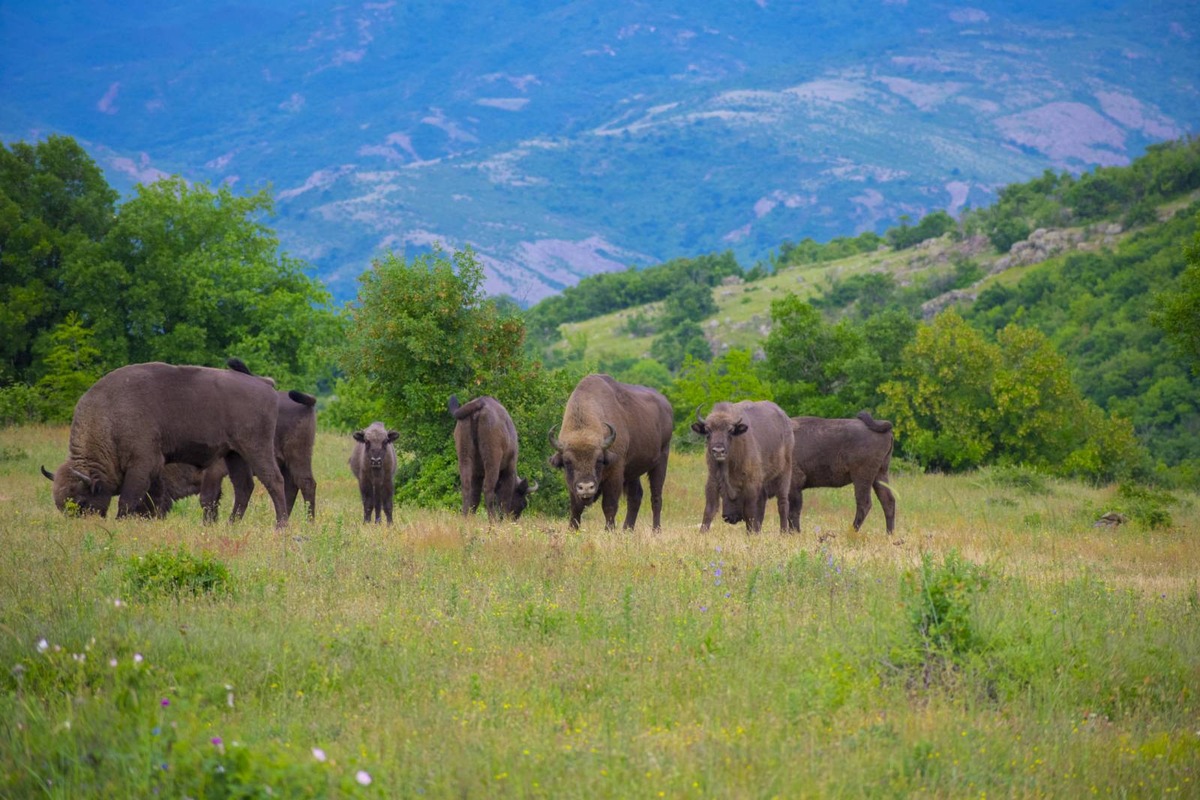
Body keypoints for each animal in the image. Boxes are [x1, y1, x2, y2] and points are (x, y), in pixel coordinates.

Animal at [42, 362, 290, 525]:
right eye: (61, 505)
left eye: (81, 501)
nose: (81, 527)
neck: (109, 420)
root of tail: (264, 383)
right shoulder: (155, 469)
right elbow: (151, 498)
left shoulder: (142, 464)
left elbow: (128, 500)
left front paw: (121, 522)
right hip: (234, 454)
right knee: (244, 487)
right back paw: (232, 524)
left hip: (256, 449)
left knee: (274, 481)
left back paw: (281, 525)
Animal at [549, 376, 676, 532]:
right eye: (567, 462)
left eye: (599, 460)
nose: (586, 487)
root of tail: (666, 404)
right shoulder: (572, 484)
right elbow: (576, 507)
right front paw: (572, 530)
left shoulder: (615, 474)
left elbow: (609, 505)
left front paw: (609, 531)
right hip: (633, 472)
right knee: (635, 497)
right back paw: (627, 530)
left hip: (661, 461)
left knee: (656, 497)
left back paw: (656, 531)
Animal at [696, 398, 796, 532]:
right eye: (708, 431)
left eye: (730, 430)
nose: (718, 450)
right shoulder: (712, 482)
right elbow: (709, 510)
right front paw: (702, 533)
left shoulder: (750, 485)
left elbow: (749, 513)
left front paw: (750, 533)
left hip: (784, 474)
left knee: (782, 504)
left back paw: (783, 532)